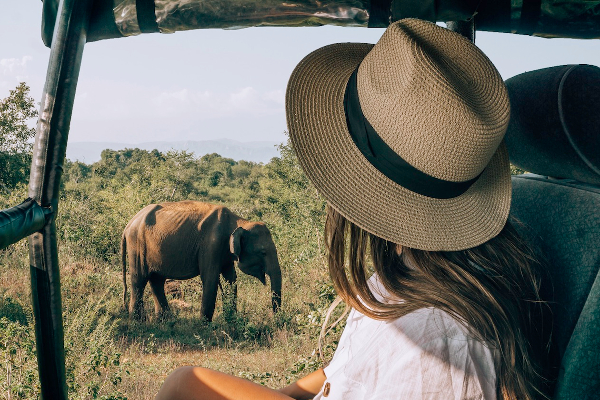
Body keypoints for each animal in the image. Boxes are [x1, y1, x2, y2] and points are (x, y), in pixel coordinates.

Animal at [122, 200, 284, 322]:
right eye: (263, 252)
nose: (275, 319)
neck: (238, 221)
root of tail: (128, 224)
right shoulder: (211, 245)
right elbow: (210, 278)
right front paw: (204, 325)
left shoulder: (224, 252)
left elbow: (231, 279)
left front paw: (231, 319)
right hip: (137, 245)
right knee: (139, 280)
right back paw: (138, 322)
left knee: (156, 280)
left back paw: (165, 320)